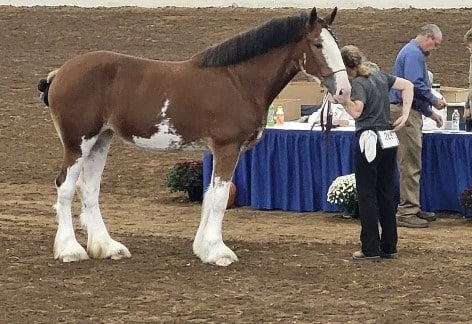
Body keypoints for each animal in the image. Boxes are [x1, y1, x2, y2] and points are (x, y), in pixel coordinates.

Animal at [37, 6, 350, 266]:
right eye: (318, 44)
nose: (343, 91)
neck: (238, 81)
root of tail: (59, 73)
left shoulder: (216, 152)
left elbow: (210, 196)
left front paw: (204, 248)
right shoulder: (227, 148)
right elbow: (221, 198)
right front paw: (219, 252)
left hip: (101, 140)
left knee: (89, 189)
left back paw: (107, 247)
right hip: (78, 143)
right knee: (65, 187)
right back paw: (69, 250)